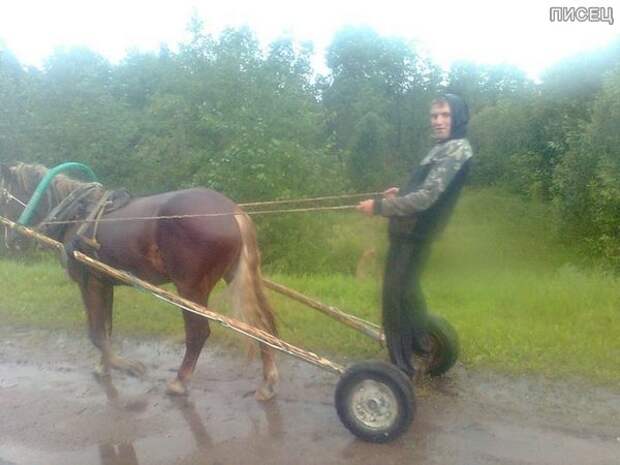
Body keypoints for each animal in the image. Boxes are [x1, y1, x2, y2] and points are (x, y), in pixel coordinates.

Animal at [0, 162, 278, 398]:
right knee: (262, 325)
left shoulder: (88, 282)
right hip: (236, 275)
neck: (76, 216)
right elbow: (106, 329)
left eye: (4, 198)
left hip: (190, 288)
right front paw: (105, 365)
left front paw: (124, 365)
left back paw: (180, 381)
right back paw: (268, 381)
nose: (10, 240)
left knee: (198, 333)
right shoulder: (104, 282)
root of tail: (232, 211)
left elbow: (95, 333)